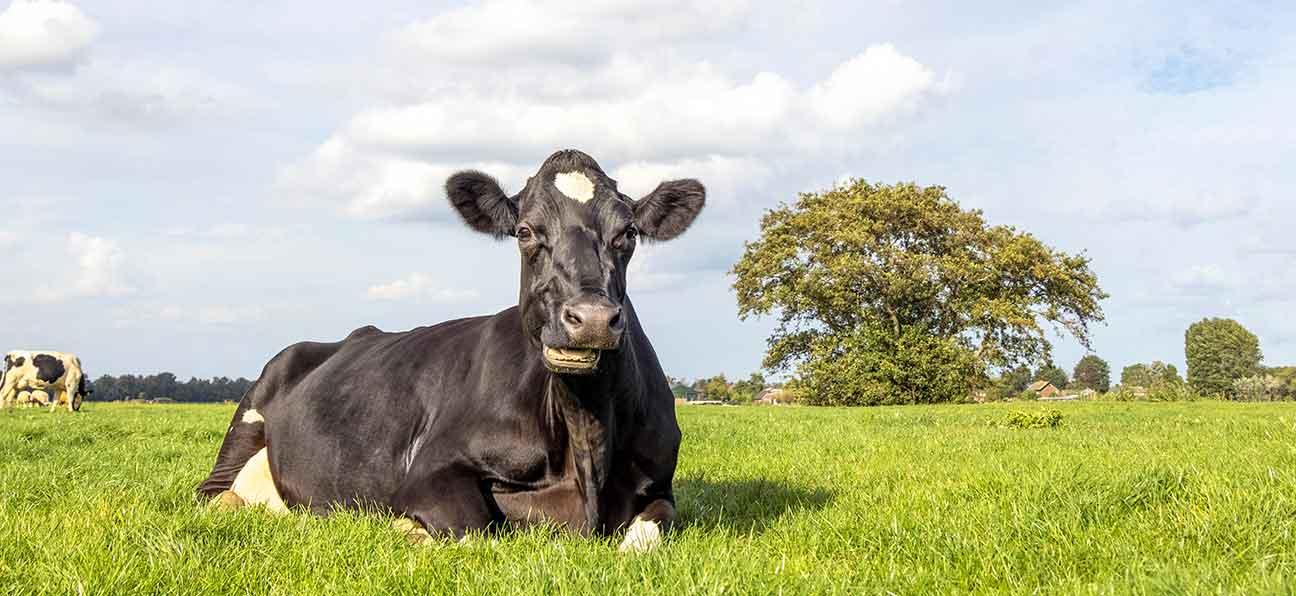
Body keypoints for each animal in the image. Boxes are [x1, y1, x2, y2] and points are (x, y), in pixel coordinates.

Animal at [198, 149, 703, 552]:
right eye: (525, 231)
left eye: (629, 233)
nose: (592, 318)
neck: (586, 438)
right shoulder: (430, 470)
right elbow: (479, 533)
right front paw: (409, 529)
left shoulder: (661, 486)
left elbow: (645, 538)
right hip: (249, 413)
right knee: (216, 495)